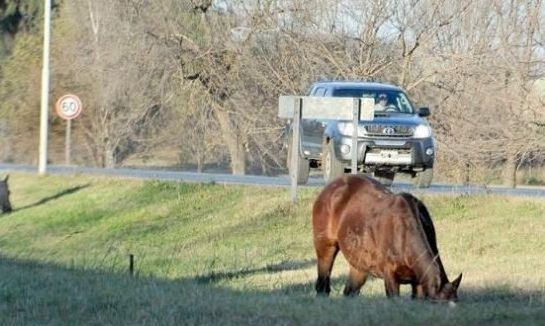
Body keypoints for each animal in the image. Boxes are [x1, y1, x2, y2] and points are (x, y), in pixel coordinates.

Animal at [312, 174, 462, 302]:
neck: (403, 233)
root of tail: (332, 186)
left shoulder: (418, 283)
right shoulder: (390, 277)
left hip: (359, 265)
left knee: (350, 291)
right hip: (326, 248)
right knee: (322, 285)